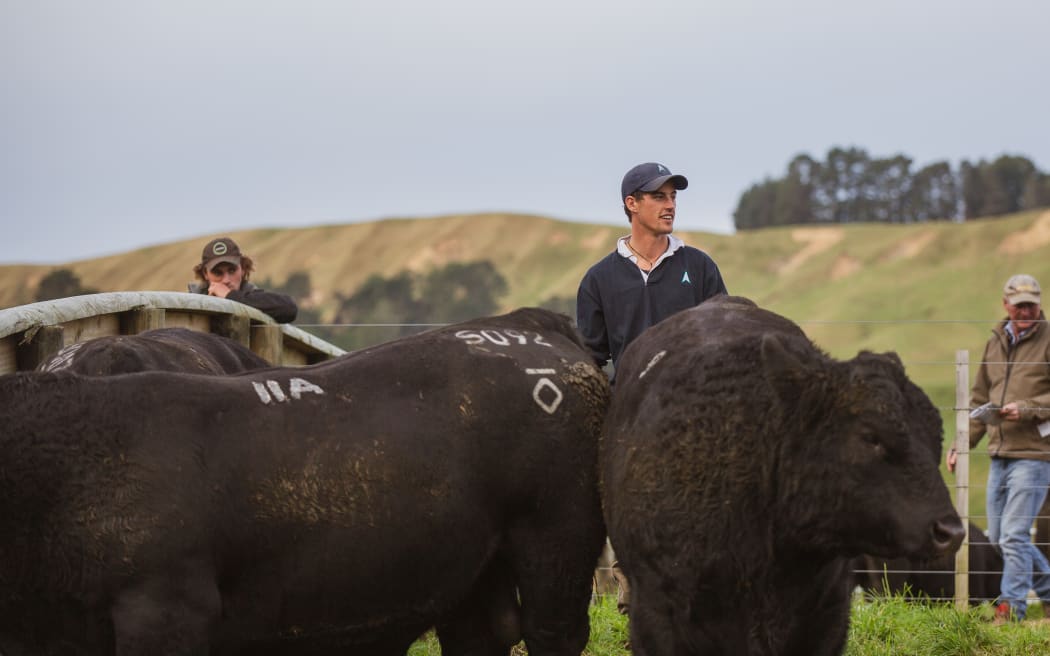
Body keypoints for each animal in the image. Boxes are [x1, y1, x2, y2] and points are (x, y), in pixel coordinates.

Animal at [0, 308, 609, 654]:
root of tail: (530, 326)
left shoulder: (165, 611)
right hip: (476, 567)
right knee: (481, 635)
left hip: (557, 537)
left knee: (553, 631)